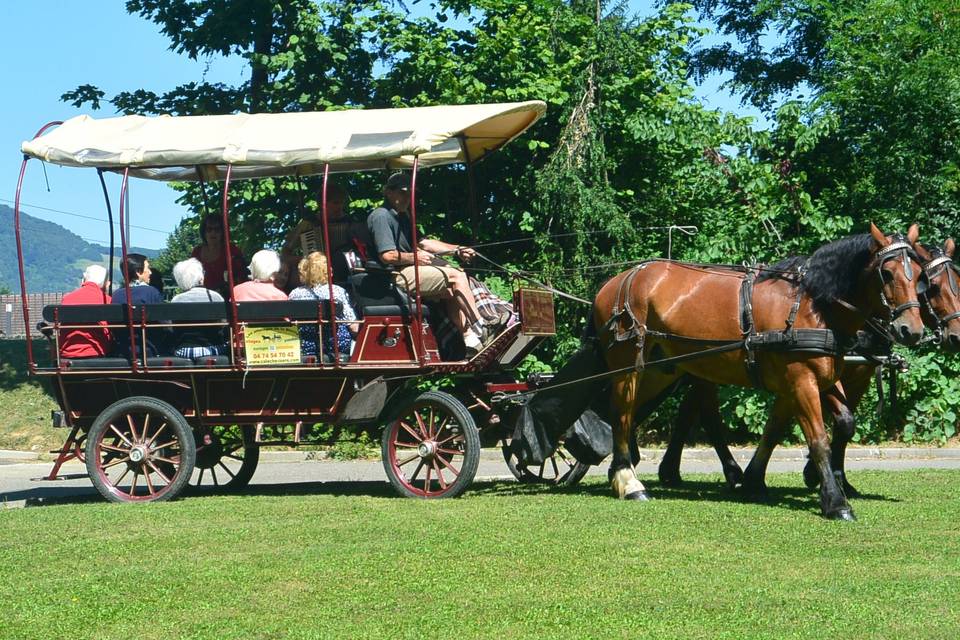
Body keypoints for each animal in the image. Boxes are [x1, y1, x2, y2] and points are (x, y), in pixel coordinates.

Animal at [592, 222, 924, 516]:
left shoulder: (814, 378)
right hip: (628, 364)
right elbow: (818, 440)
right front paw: (835, 502)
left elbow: (804, 427)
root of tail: (616, 281)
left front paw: (758, 480)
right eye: (886, 273)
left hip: (661, 368)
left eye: (919, 276)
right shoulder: (801, 380)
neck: (813, 306)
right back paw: (628, 480)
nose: (912, 330)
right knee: (622, 413)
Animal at [656, 238, 960, 492]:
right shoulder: (806, 376)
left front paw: (825, 477)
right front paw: (819, 476)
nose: (955, 335)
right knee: (702, 413)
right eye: (931, 287)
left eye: (922, 281)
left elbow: (833, 423)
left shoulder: (852, 377)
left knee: (690, 410)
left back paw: (675, 471)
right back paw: (720, 472)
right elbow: (804, 424)